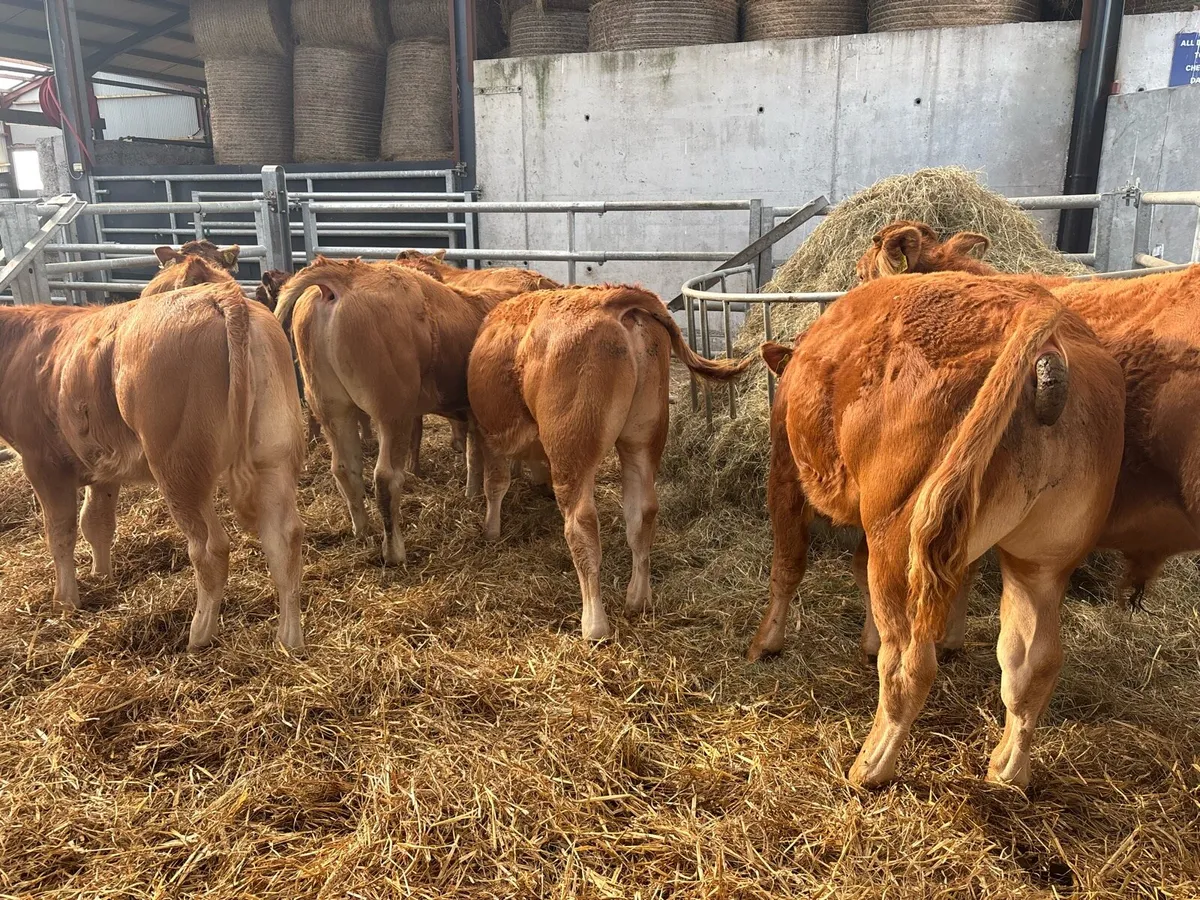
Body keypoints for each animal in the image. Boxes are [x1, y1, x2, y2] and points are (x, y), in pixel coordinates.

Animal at [0, 281, 307, 652]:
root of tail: (220, 294)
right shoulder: (102, 468)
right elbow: (97, 523)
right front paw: (102, 576)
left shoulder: (42, 462)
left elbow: (60, 532)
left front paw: (65, 600)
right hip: (274, 455)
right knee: (283, 538)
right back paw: (289, 641)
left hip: (179, 467)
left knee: (210, 548)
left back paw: (198, 635)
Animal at [273, 256, 521, 565]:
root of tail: (343, 275)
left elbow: (473, 456)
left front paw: (471, 493)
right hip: (392, 412)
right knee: (386, 478)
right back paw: (394, 551)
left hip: (331, 407)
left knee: (345, 469)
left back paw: (362, 531)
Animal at [467, 284, 753, 642]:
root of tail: (614, 297)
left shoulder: (488, 432)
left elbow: (495, 484)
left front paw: (490, 531)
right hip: (642, 436)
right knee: (642, 513)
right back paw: (638, 599)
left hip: (572, 449)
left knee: (581, 524)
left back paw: (594, 624)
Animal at [749, 272, 1124, 787]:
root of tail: (1040, 322)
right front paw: (869, 641)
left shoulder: (785, 473)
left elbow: (788, 566)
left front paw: (766, 642)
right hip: (1041, 559)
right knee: (1032, 663)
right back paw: (1008, 771)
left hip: (903, 541)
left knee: (908, 665)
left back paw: (869, 766)